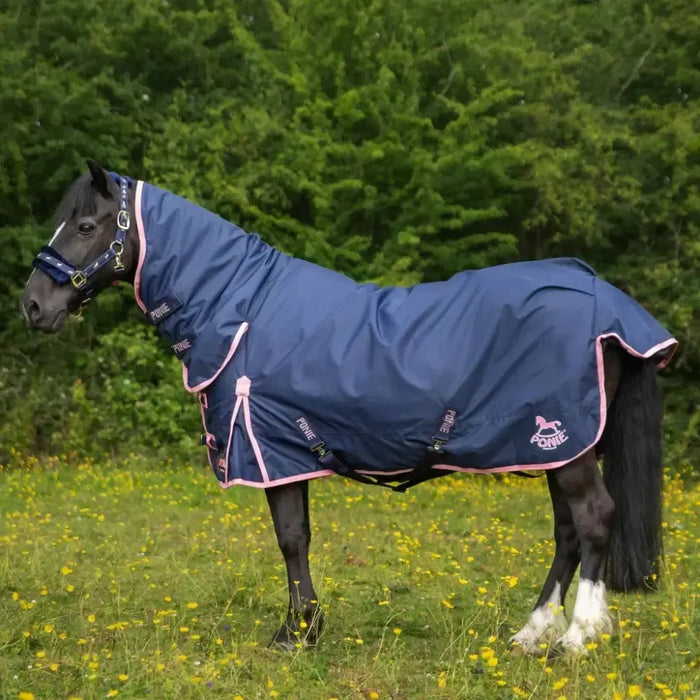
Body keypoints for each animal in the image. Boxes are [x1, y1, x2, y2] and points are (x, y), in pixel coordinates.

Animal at [20, 161, 677, 654]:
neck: (241, 310)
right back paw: (530, 633)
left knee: (593, 520)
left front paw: (296, 635)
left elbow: (291, 539)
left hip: (566, 443)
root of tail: (605, 299)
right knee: (567, 532)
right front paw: (304, 628)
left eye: (85, 224)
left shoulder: (270, 451)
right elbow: (299, 538)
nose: (32, 306)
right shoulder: (287, 454)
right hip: (556, 447)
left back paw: (576, 638)